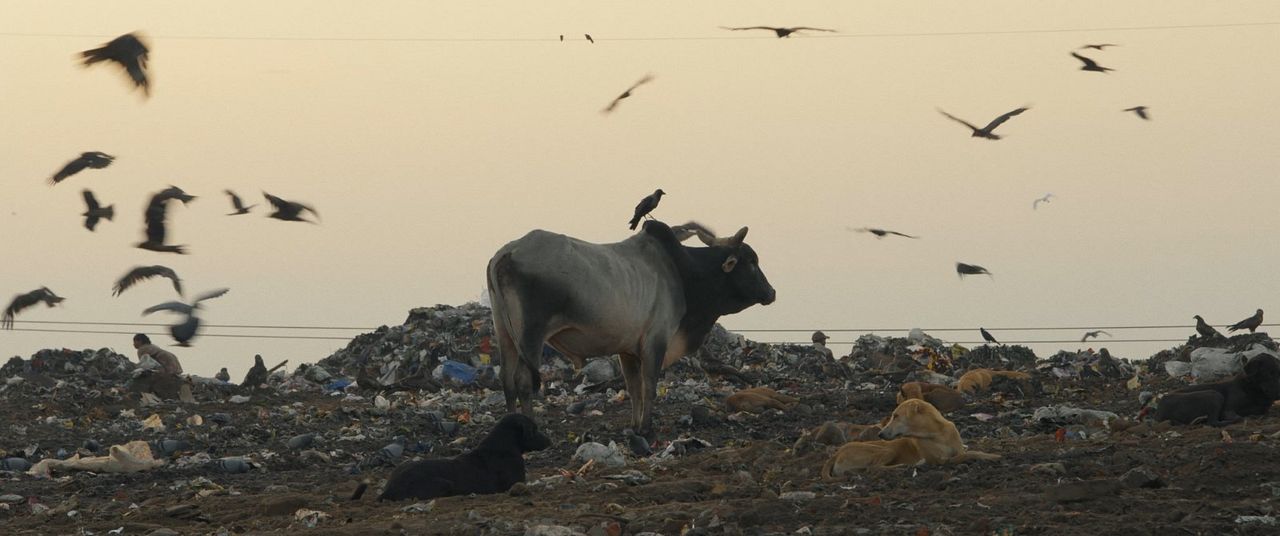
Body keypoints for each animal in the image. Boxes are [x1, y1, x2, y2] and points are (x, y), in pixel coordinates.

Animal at [353, 414, 552, 501]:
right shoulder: (516, 483)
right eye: (534, 429)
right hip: (444, 483)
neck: (504, 446)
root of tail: (390, 488)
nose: (550, 440)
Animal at [483, 220, 773, 437]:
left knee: (506, 379)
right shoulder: (656, 340)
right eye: (751, 262)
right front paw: (645, 428)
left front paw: (634, 425)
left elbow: (633, 388)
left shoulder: (628, 349)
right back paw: (530, 428)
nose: (771, 292)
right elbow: (649, 385)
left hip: (504, 332)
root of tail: (507, 253)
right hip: (531, 333)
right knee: (522, 381)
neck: (682, 271)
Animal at [819, 399, 998, 478]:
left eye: (896, 416)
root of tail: (836, 453)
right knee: (874, 468)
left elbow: (970, 452)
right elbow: (968, 454)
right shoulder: (940, 460)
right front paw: (991, 456)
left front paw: (988, 455)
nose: (880, 434)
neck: (937, 434)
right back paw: (903, 467)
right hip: (886, 449)